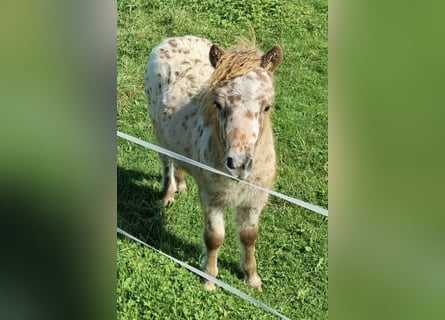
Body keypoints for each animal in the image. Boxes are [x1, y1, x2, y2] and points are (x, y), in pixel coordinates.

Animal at [145, 36, 280, 292]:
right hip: (158, 131)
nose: (238, 163)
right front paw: (209, 280)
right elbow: (214, 238)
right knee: (166, 161)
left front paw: (252, 279)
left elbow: (249, 236)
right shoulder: (212, 197)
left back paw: (182, 184)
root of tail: (172, 39)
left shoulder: (254, 200)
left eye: (267, 106)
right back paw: (168, 194)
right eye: (218, 104)